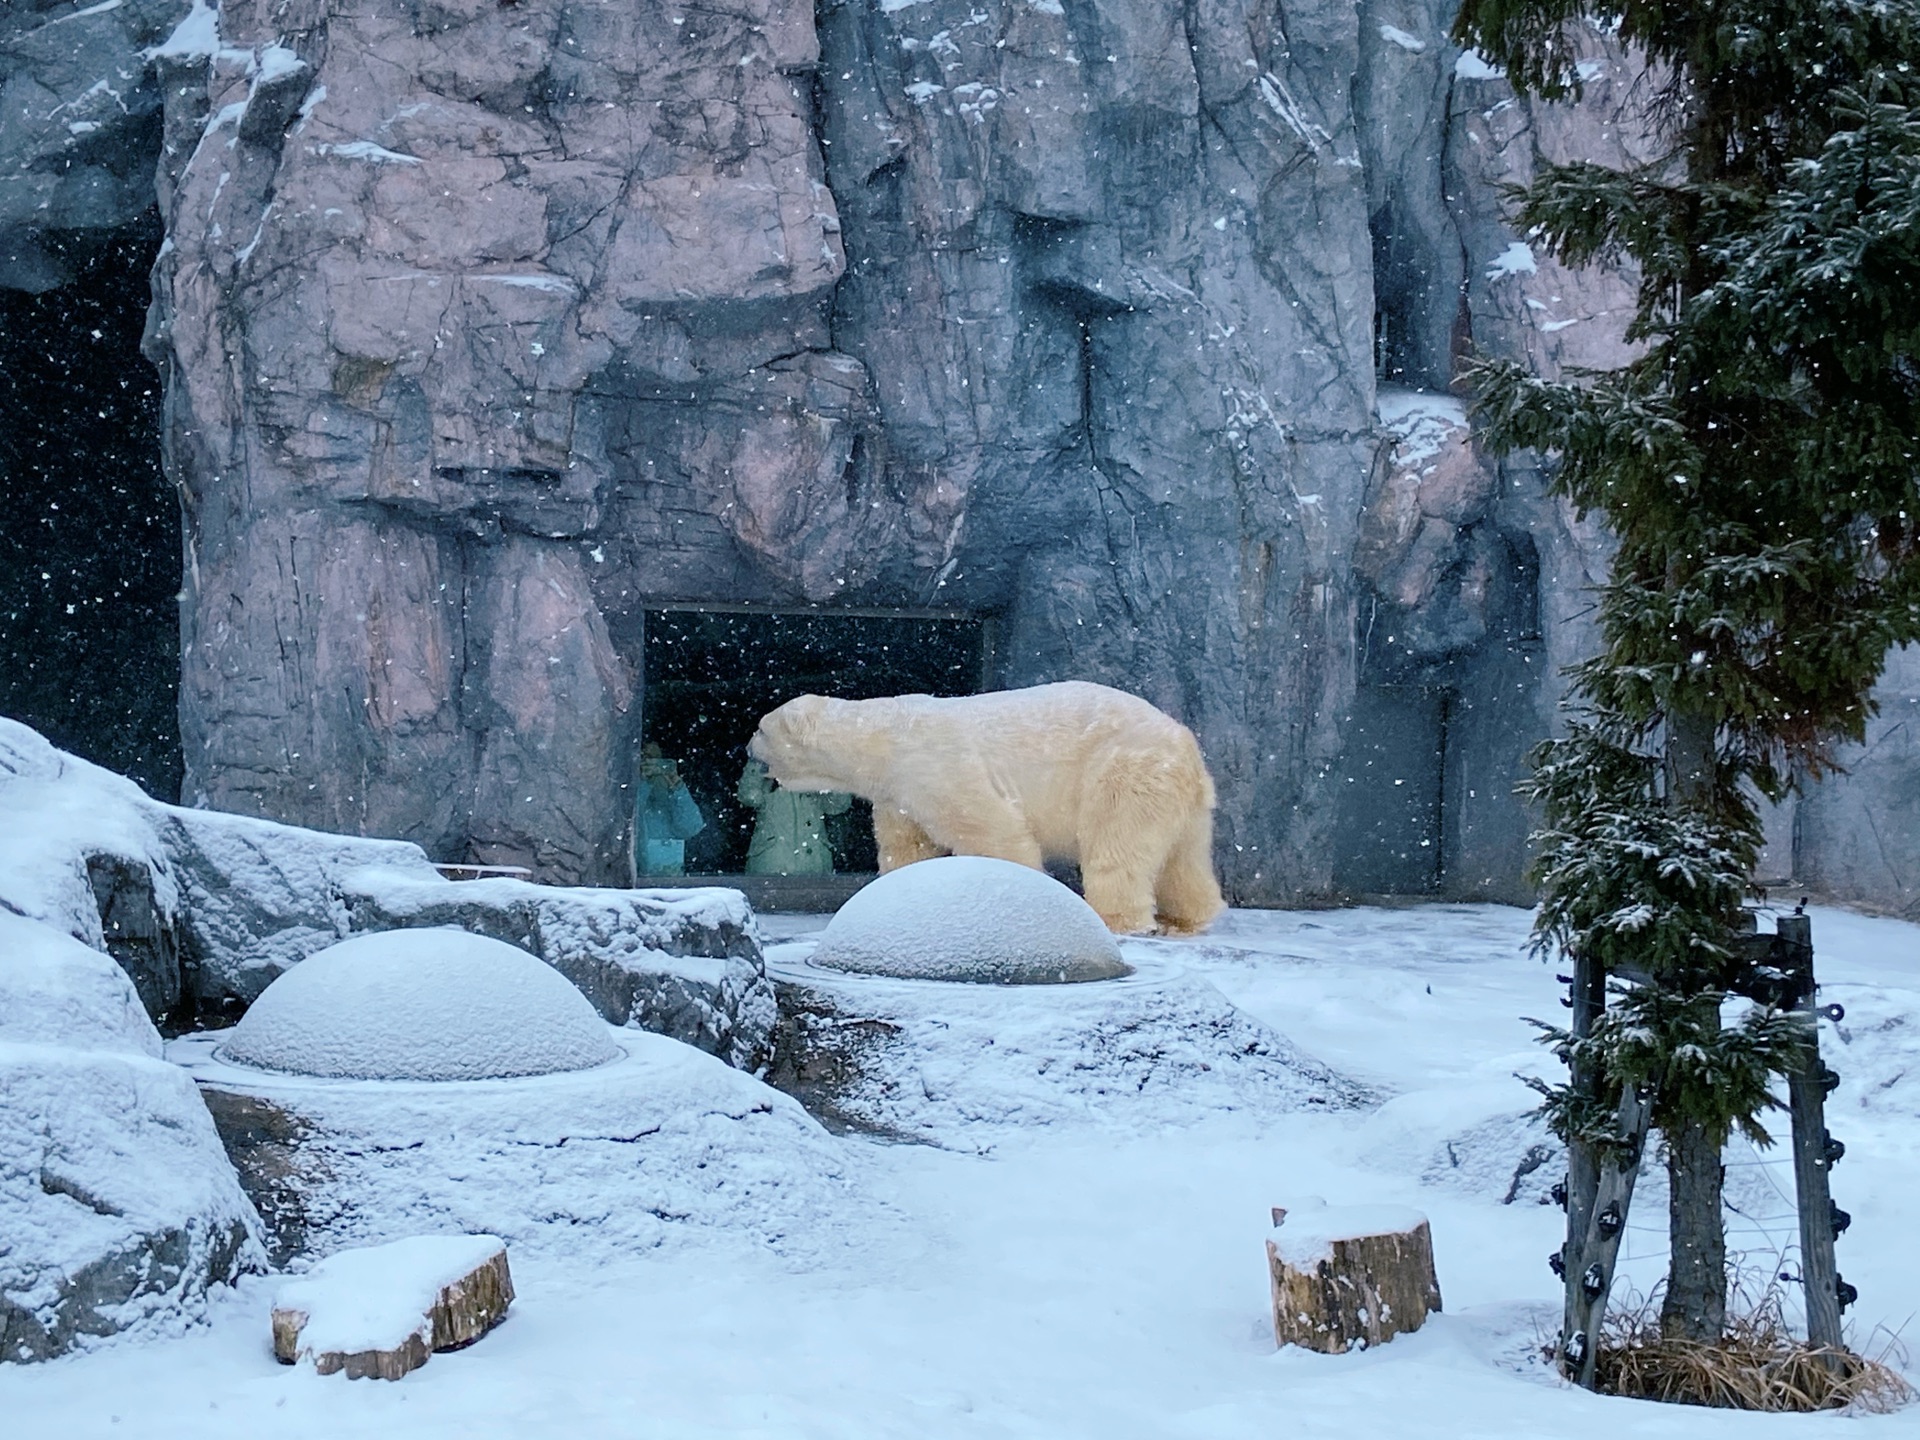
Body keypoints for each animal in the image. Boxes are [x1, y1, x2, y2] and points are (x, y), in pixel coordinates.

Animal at [741, 683, 1221, 940]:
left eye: (761, 728)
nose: (745, 746)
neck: (881, 739)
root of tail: (1185, 744)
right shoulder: (900, 792)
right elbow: (908, 845)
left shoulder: (936, 765)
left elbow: (992, 830)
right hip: (1182, 801)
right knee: (1182, 859)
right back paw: (1186, 919)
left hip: (1123, 769)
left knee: (1117, 847)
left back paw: (1118, 921)